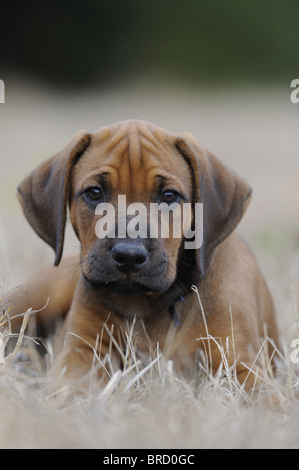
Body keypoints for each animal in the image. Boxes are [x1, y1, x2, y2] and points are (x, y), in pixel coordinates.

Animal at [12, 120, 278, 390]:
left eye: (169, 196)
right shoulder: (81, 353)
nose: (129, 255)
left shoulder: (240, 364)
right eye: (94, 193)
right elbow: (73, 389)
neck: (145, 305)